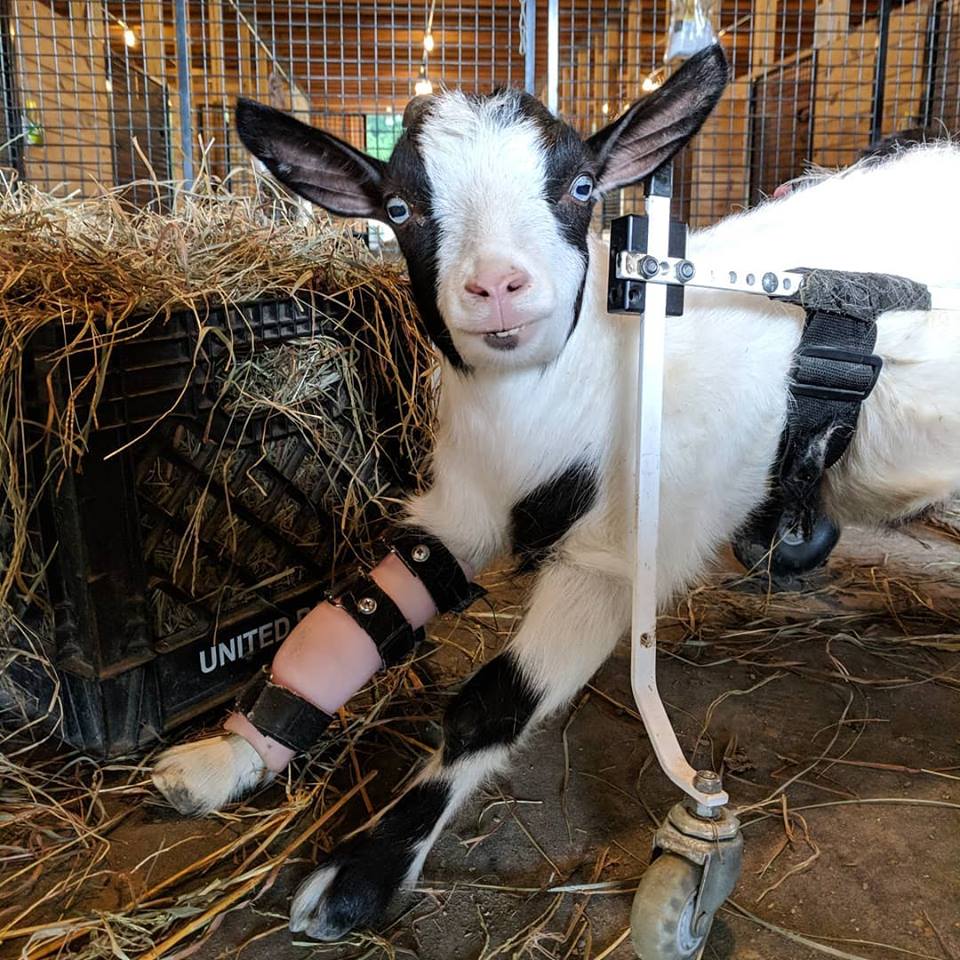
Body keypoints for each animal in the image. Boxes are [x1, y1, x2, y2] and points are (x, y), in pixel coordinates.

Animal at [152, 46, 960, 940]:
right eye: (399, 207)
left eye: (579, 187)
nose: (498, 287)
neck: (592, 370)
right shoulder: (462, 511)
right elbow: (363, 612)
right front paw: (226, 759)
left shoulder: (612, 560)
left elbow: (491, 704)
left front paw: (355, 881)